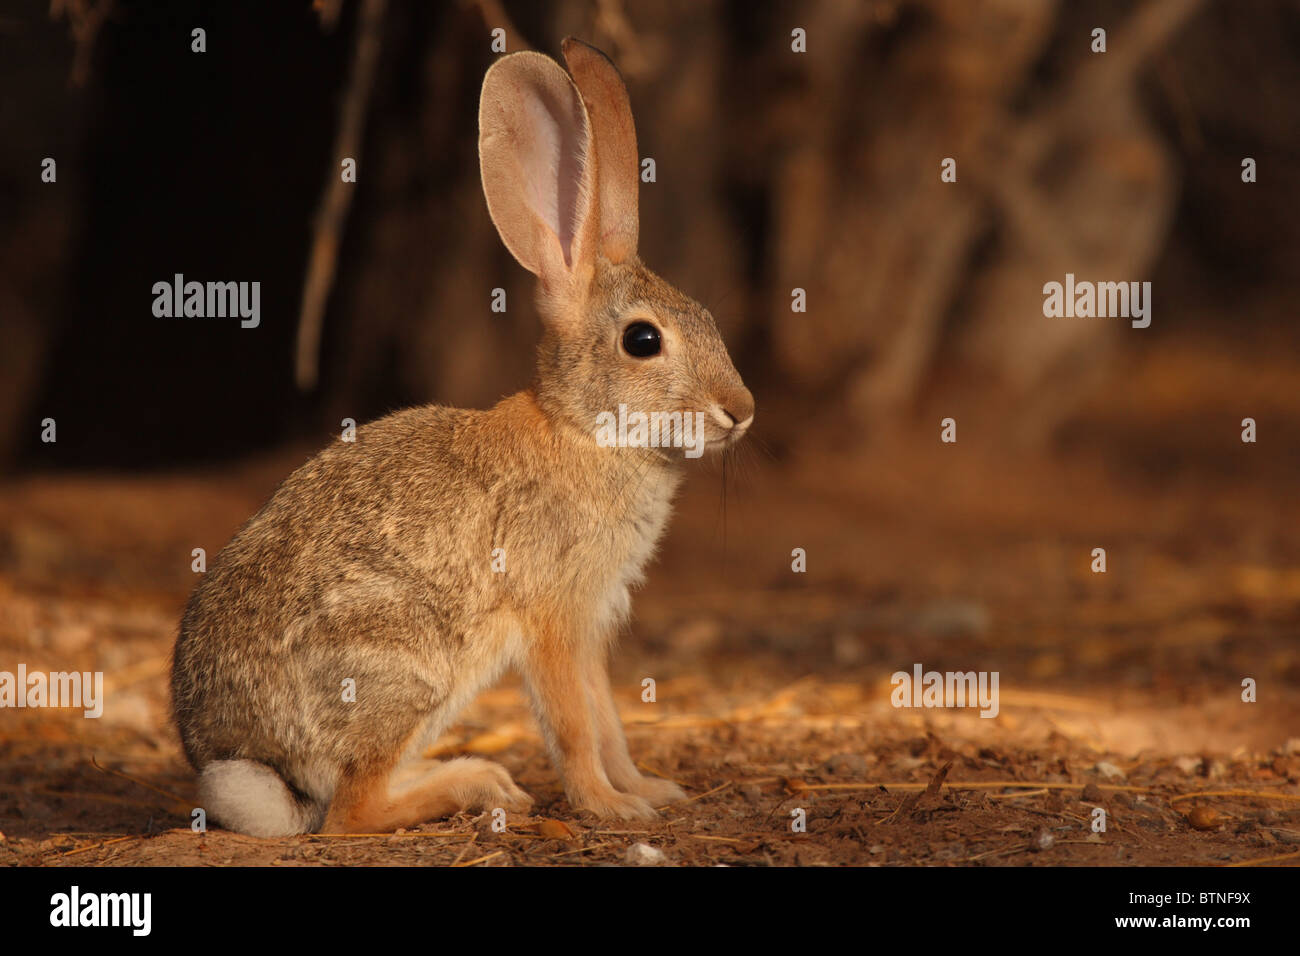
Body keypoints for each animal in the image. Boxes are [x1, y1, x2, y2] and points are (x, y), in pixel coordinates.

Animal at [170, 37, 754, 837]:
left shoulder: (589, 629)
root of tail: (250, 765)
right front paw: (610, 807)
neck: (586, 431)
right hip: (405, 666)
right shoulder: (552, 621)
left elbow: (609, 721)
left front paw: (648, 790)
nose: (742, 410)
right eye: (643, 341)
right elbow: (576, 727)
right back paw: (477, 786)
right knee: (351, 811)